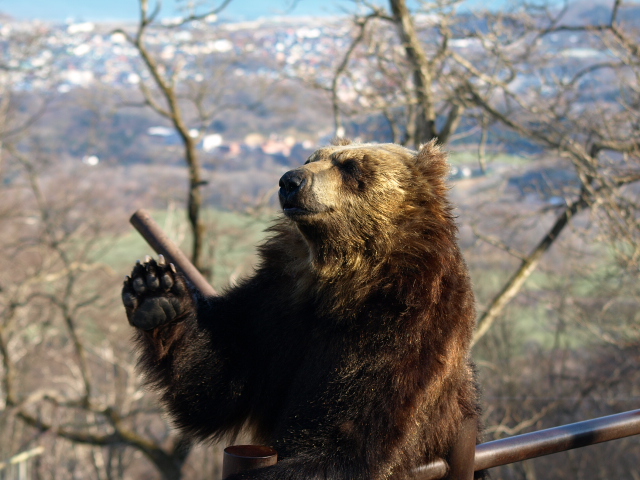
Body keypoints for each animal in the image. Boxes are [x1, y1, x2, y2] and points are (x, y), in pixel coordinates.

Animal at [122, 140, 480, 480]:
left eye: (351, 166)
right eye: (312, 158)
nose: (290, 180)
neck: (343, 284)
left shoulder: (405, 329)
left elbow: (352, 436)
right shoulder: (278, 306)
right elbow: (217, 380)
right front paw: (155, 292)